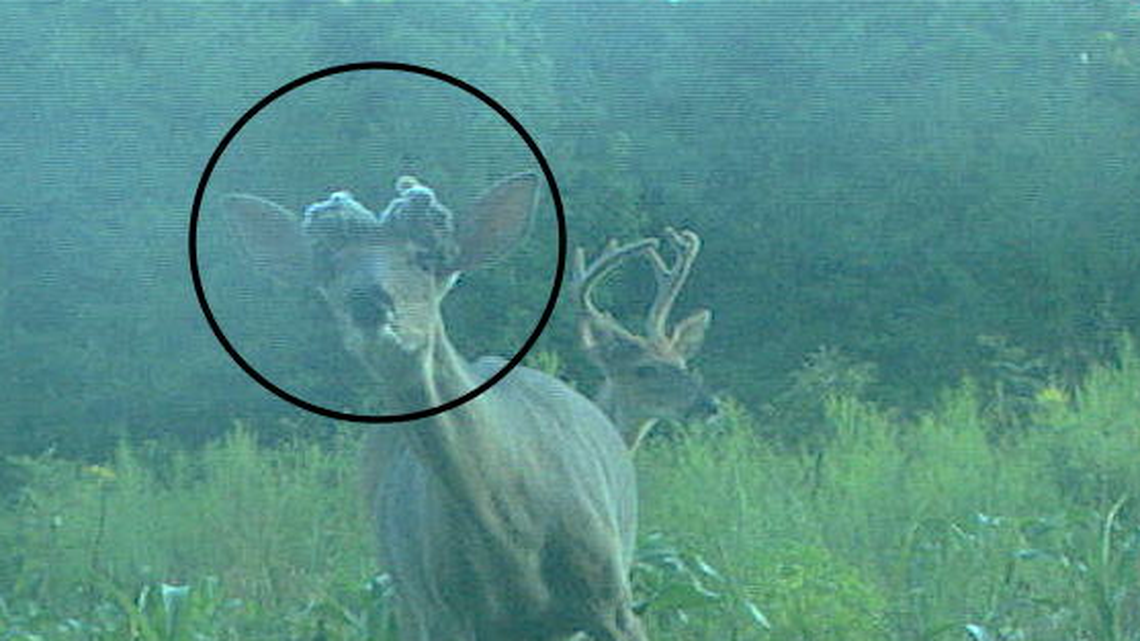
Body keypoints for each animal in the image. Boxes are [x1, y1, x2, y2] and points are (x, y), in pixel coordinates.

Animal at [222, 173, 647, 640]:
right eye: (329, 267)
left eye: (426, 259)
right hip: (407, 600)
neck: (514, 538)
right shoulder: (444, 613)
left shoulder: (613, 602)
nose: (367, 302)